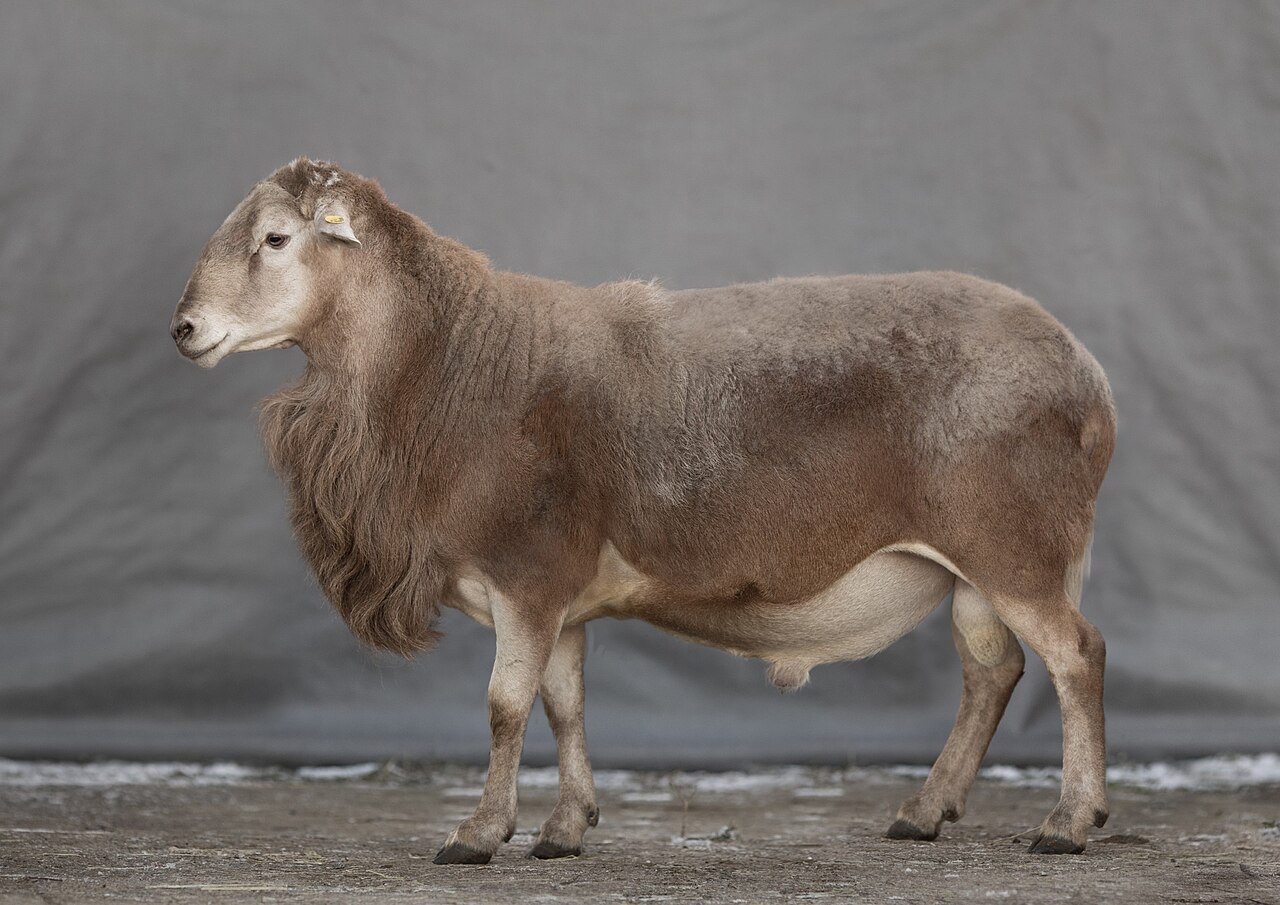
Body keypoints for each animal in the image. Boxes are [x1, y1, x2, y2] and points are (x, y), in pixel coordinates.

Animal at [171, 158, 1116, 864]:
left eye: (275, 238)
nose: (184, 328)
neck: (451, 361)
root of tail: (1088, 375)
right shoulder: (560, 597)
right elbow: (564, 703)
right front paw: (563, 829)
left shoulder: (526, 574)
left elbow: (504, 703)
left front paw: (479, 833)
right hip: (975, 567)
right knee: (991, 672)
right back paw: (925, 810)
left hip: (1015, 547)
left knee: (1075, 655)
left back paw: (1068, 822)